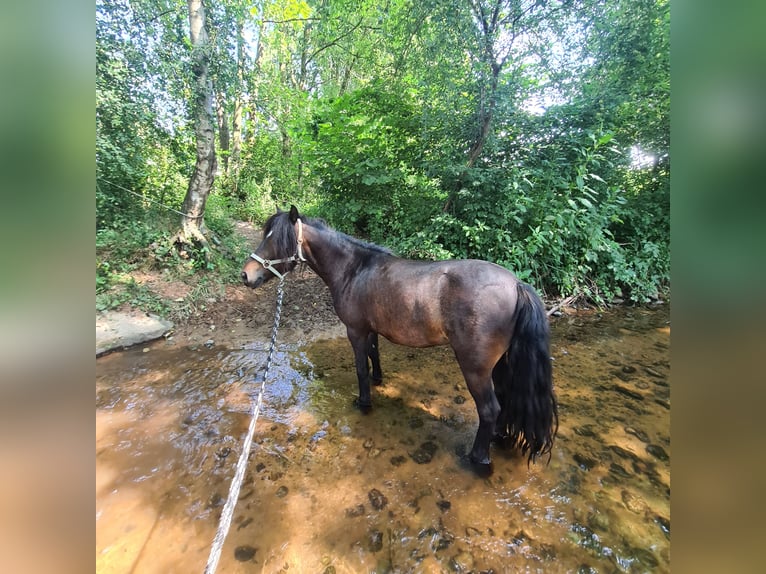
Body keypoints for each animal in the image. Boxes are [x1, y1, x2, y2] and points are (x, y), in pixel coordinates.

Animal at [243, 206, 560, 468]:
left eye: (276, 240)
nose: (246, 275)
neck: (354, 270)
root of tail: (517, 284)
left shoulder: (355, 331)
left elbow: (360, 368)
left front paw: (364, 402)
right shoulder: (370, 329)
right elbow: (374, 356)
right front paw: (378, 381)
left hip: (476, 368)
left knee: (490, 409)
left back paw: (477, 459)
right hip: (500, 364)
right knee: (504, 400)